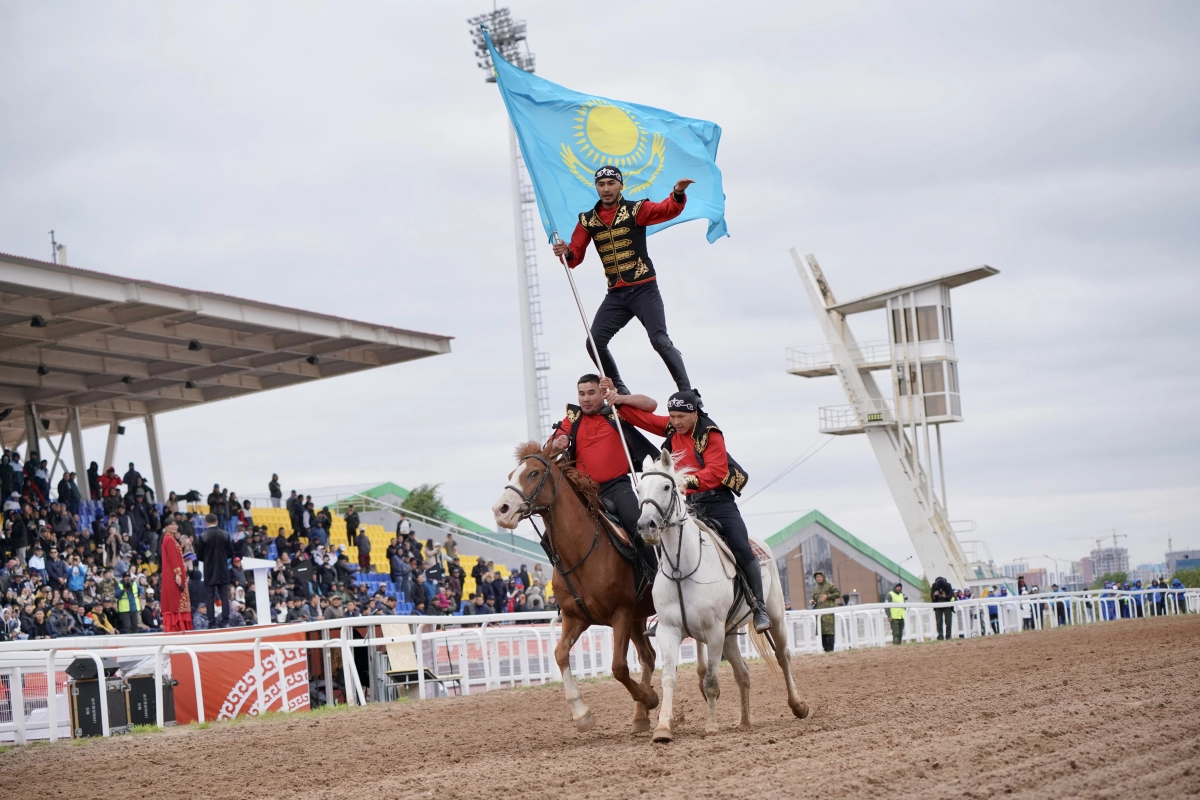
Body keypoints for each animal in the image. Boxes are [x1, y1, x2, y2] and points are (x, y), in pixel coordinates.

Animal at [487, 441, 662, 734]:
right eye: (512, 474)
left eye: (533, 473)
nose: (501, 509)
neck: (584, 551)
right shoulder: (575, 617)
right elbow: (560, 654)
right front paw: (582, 714)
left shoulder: (621, 614)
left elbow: (618, 667)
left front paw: (649, 697)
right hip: (638, 618)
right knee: (648, 656)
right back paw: (640, 717)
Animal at [638, 450, 806, 743]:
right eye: (638, 489)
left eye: (667, 486)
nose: (646, 526)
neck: (682, 568)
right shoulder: (669, 631)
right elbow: (669, 678)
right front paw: (662, 728)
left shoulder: (713, 630)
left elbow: (711, 682)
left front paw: (711, 726)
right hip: (729, 635)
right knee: (743, 674)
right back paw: (745, 722)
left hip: (774, 616)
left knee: (783, 656)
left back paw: (797, 705)